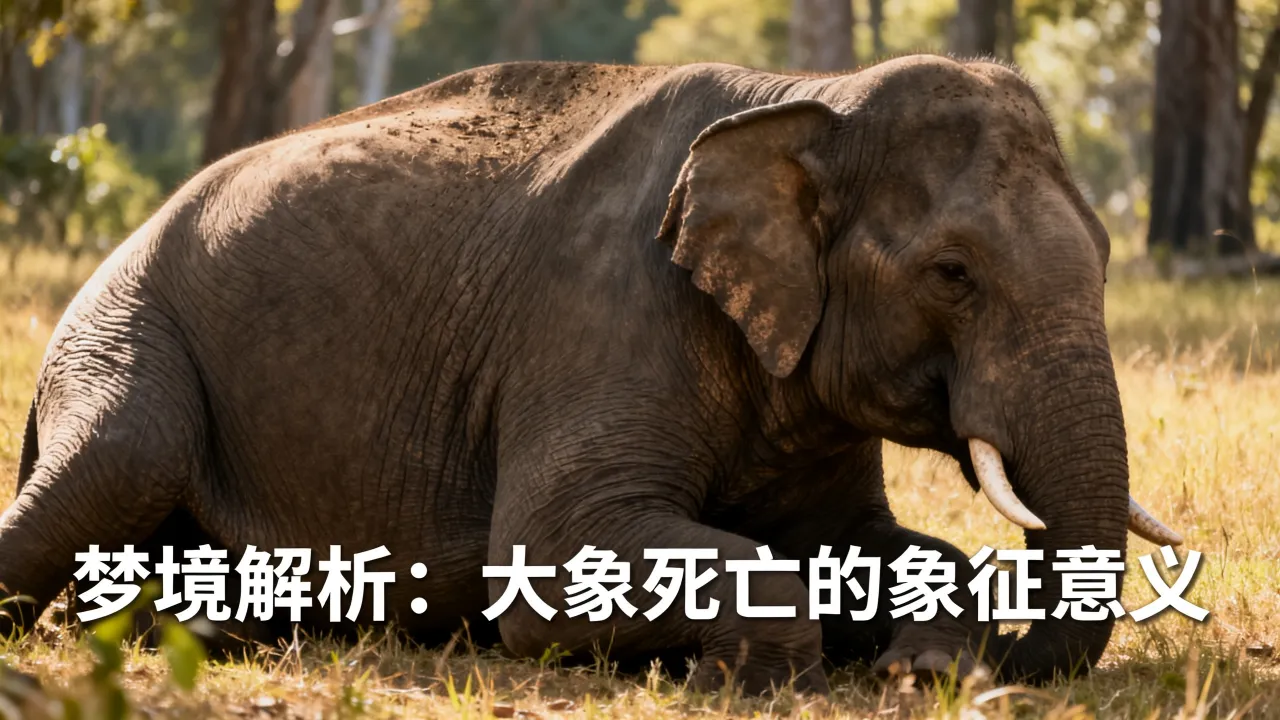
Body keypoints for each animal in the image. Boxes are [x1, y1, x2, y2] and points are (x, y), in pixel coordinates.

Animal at [2, 55, 1183, 695]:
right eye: (952, 274)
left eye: (1107, 256)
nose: (1015, 661)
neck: (811, 101)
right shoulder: (604, 311)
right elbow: (547, 553)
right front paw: (759, 675)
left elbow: (876, 543)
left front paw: (927, 666)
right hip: (125, 330)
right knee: (119, 460)